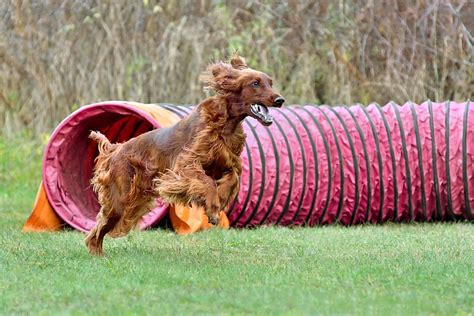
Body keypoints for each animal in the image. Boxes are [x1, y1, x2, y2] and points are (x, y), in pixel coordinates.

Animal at [84, 56, 284, 254]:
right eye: (255, 83)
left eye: (270, 83)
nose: (280, 100)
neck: (225, 123)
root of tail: (115, 150)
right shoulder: (187, 164)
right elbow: (208, 182)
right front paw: (213, 210)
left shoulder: (227, 163)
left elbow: (232, 177)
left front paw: (219, 200)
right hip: (120, 199)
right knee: (99, 227)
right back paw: (97, 253)